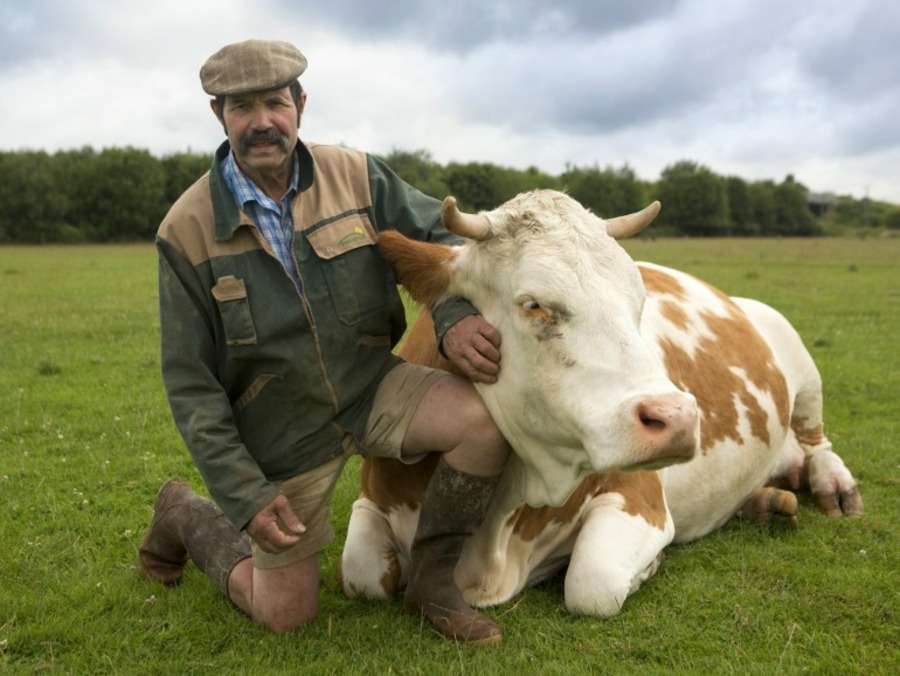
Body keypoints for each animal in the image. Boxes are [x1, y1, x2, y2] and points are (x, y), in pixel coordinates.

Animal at [340, 190, 864, 624]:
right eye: (533, 305)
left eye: (639, 301)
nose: (677, 418)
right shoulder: (374, 498)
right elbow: (360, 574)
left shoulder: (638, 498)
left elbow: (592, 585)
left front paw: (650, 565)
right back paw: (764, 501)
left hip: (796, 354)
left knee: (817, 440)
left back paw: (833, 487)